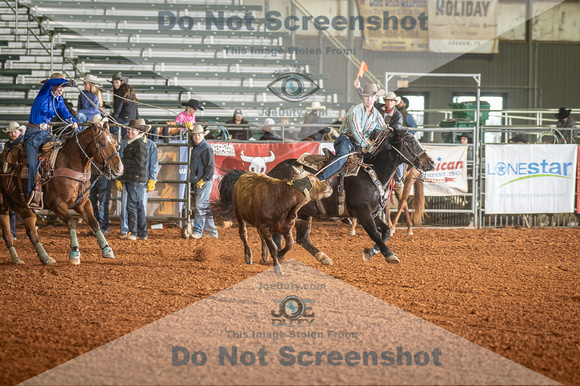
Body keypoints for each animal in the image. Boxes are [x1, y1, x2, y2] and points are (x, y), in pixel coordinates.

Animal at [0, 123, 122, 266]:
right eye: (103, 144)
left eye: (115, 143)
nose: (120, 168)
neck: (69, 163)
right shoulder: (57, 204)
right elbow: (71, 222)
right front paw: (74, 252)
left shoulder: (83, 203)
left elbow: (95, 223)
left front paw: (107, 249)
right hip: (3, 205)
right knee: (8, 235)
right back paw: (18, 259)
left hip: (23, 206)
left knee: (32, 233)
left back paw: (44, 258)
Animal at [266, 130, 430, 266]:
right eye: (411, 142)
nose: (431, 162)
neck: (371, 172)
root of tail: (272, 171)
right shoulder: (362, 212)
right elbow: (374, 233)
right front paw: (390, 255)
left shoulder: (372, 213)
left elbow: (386, 231)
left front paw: (370, 252)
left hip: (304, 213)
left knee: (301, 238)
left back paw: (318, 257)